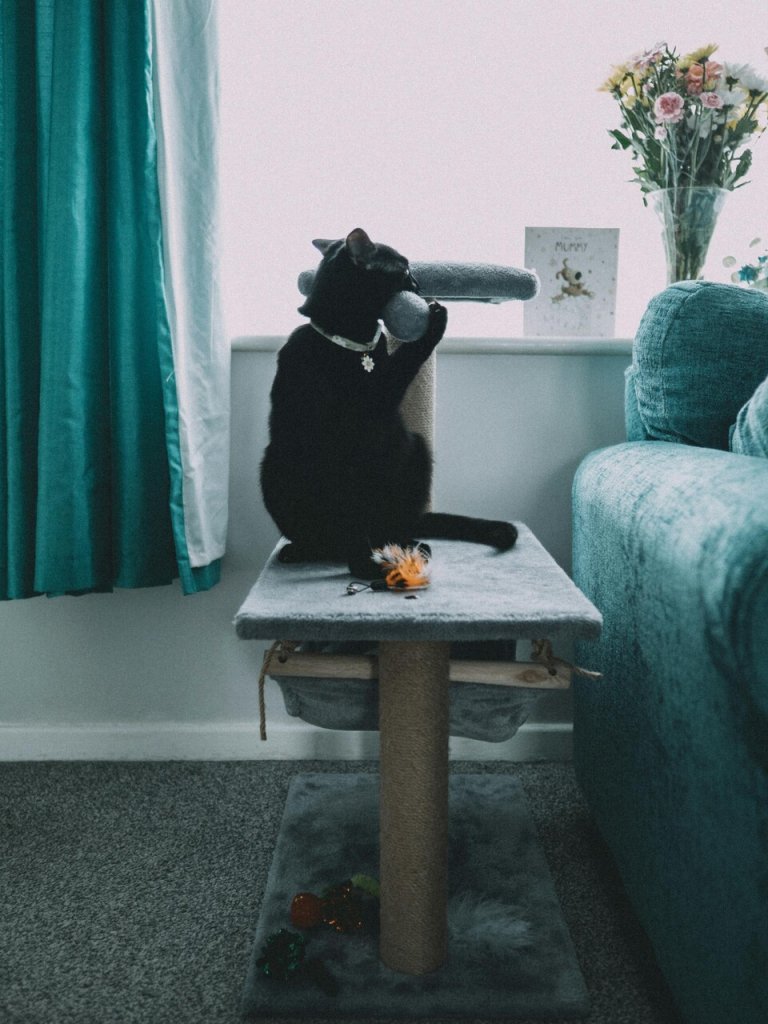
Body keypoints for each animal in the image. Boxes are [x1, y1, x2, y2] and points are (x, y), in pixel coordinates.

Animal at [259, 233, 518, 585]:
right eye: (405, 268)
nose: (420, 285)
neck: (356, 346)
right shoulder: (354, 422)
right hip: (274, 465)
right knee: (327, 535)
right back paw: (305, 549)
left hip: (415, 449)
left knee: (392, 525)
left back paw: (408, 543)